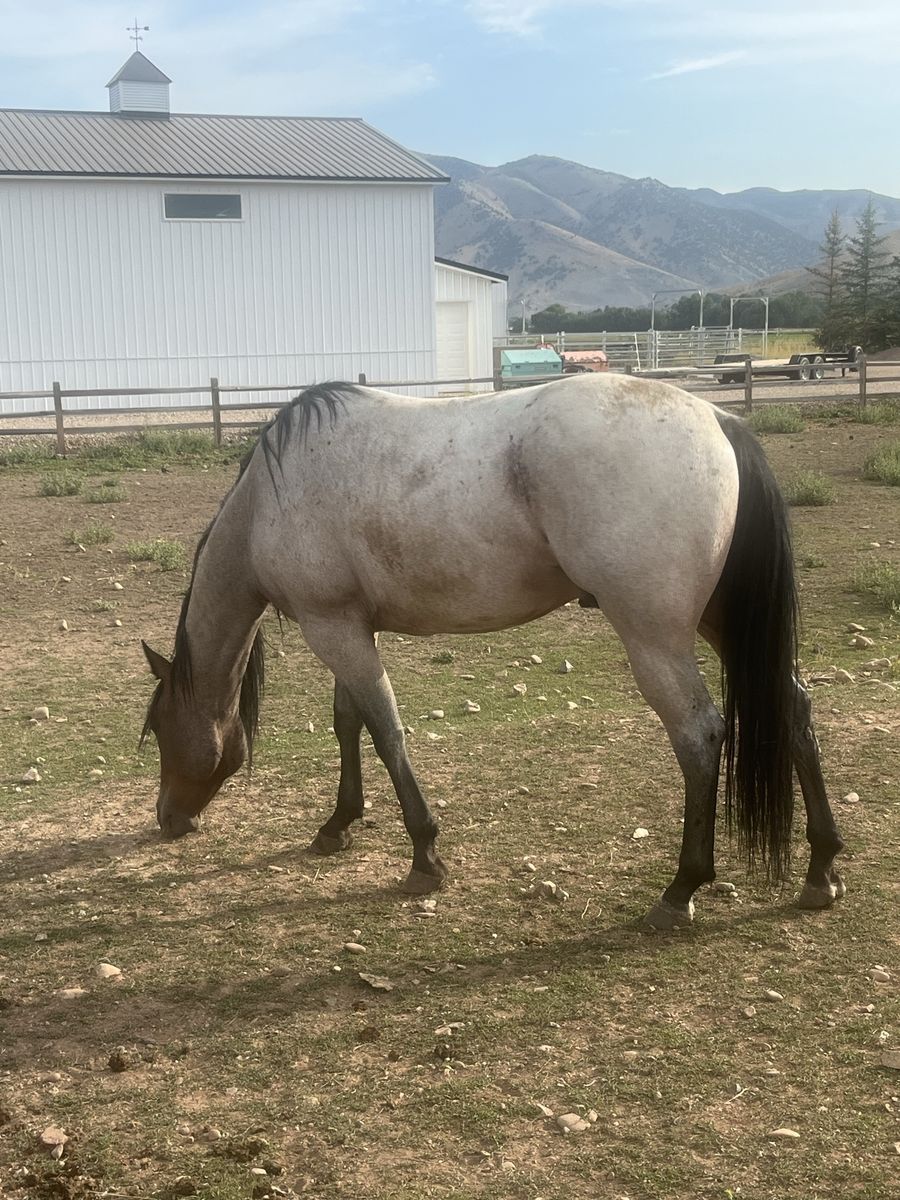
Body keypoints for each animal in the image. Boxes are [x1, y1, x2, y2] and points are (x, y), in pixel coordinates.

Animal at [140, 374, 845, 929]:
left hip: (657, 638)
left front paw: (424, 856)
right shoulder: (347, 626)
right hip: (721, 624)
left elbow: (386, 731)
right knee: (793, 706)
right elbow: (350, 723)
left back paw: (682, 889)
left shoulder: (332, 628)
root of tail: (721, 421)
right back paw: (822, 868)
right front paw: (338, 825)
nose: (169, 819)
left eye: (159, 729)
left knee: (699, 736)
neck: (271, 496)